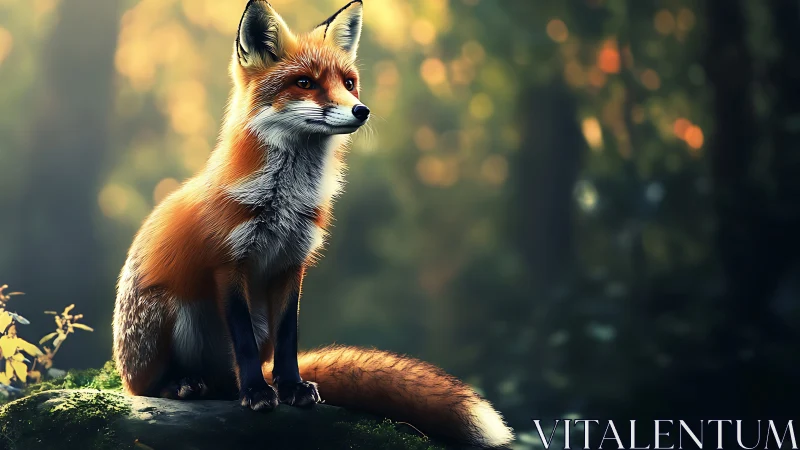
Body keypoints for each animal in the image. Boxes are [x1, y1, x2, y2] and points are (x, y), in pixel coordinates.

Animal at [112, 0, 513, 447]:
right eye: (304, 82)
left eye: (349, 83)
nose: (361, 110)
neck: (282, 202)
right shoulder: (228, 264)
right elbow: (243, 343)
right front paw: (258, 394)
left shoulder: (292, 262)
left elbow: (290, 338)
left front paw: (290, 388)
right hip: (163, 312)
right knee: (148, 387)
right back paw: (184, 385)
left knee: (227, 380)